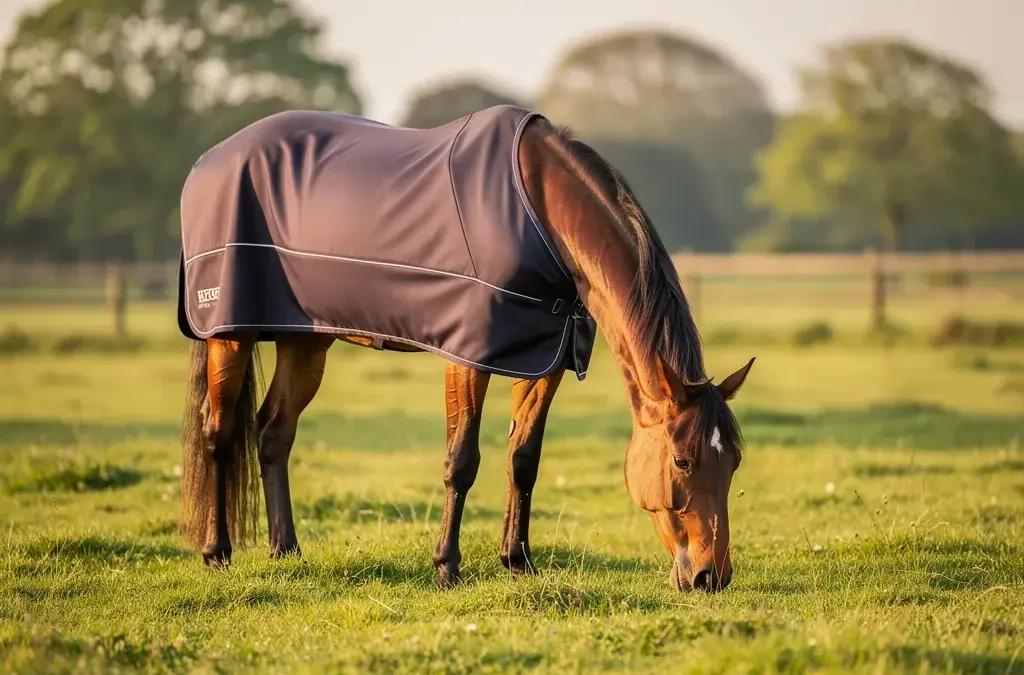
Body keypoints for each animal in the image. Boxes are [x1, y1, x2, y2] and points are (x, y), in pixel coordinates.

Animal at [175, 104, 754, 592]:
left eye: (734, 462)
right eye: (682, 461)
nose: (711, 576)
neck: (539, 212)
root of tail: (208, 161)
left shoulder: (546, 357)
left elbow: (524, 458)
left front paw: (518, 560)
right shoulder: (469, 355)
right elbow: (462, 460)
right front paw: (447, 567)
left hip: (305, 340)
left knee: (274, 432)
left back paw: (285, 549)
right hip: (229, 332)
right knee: (219, 431)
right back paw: (217, 550)